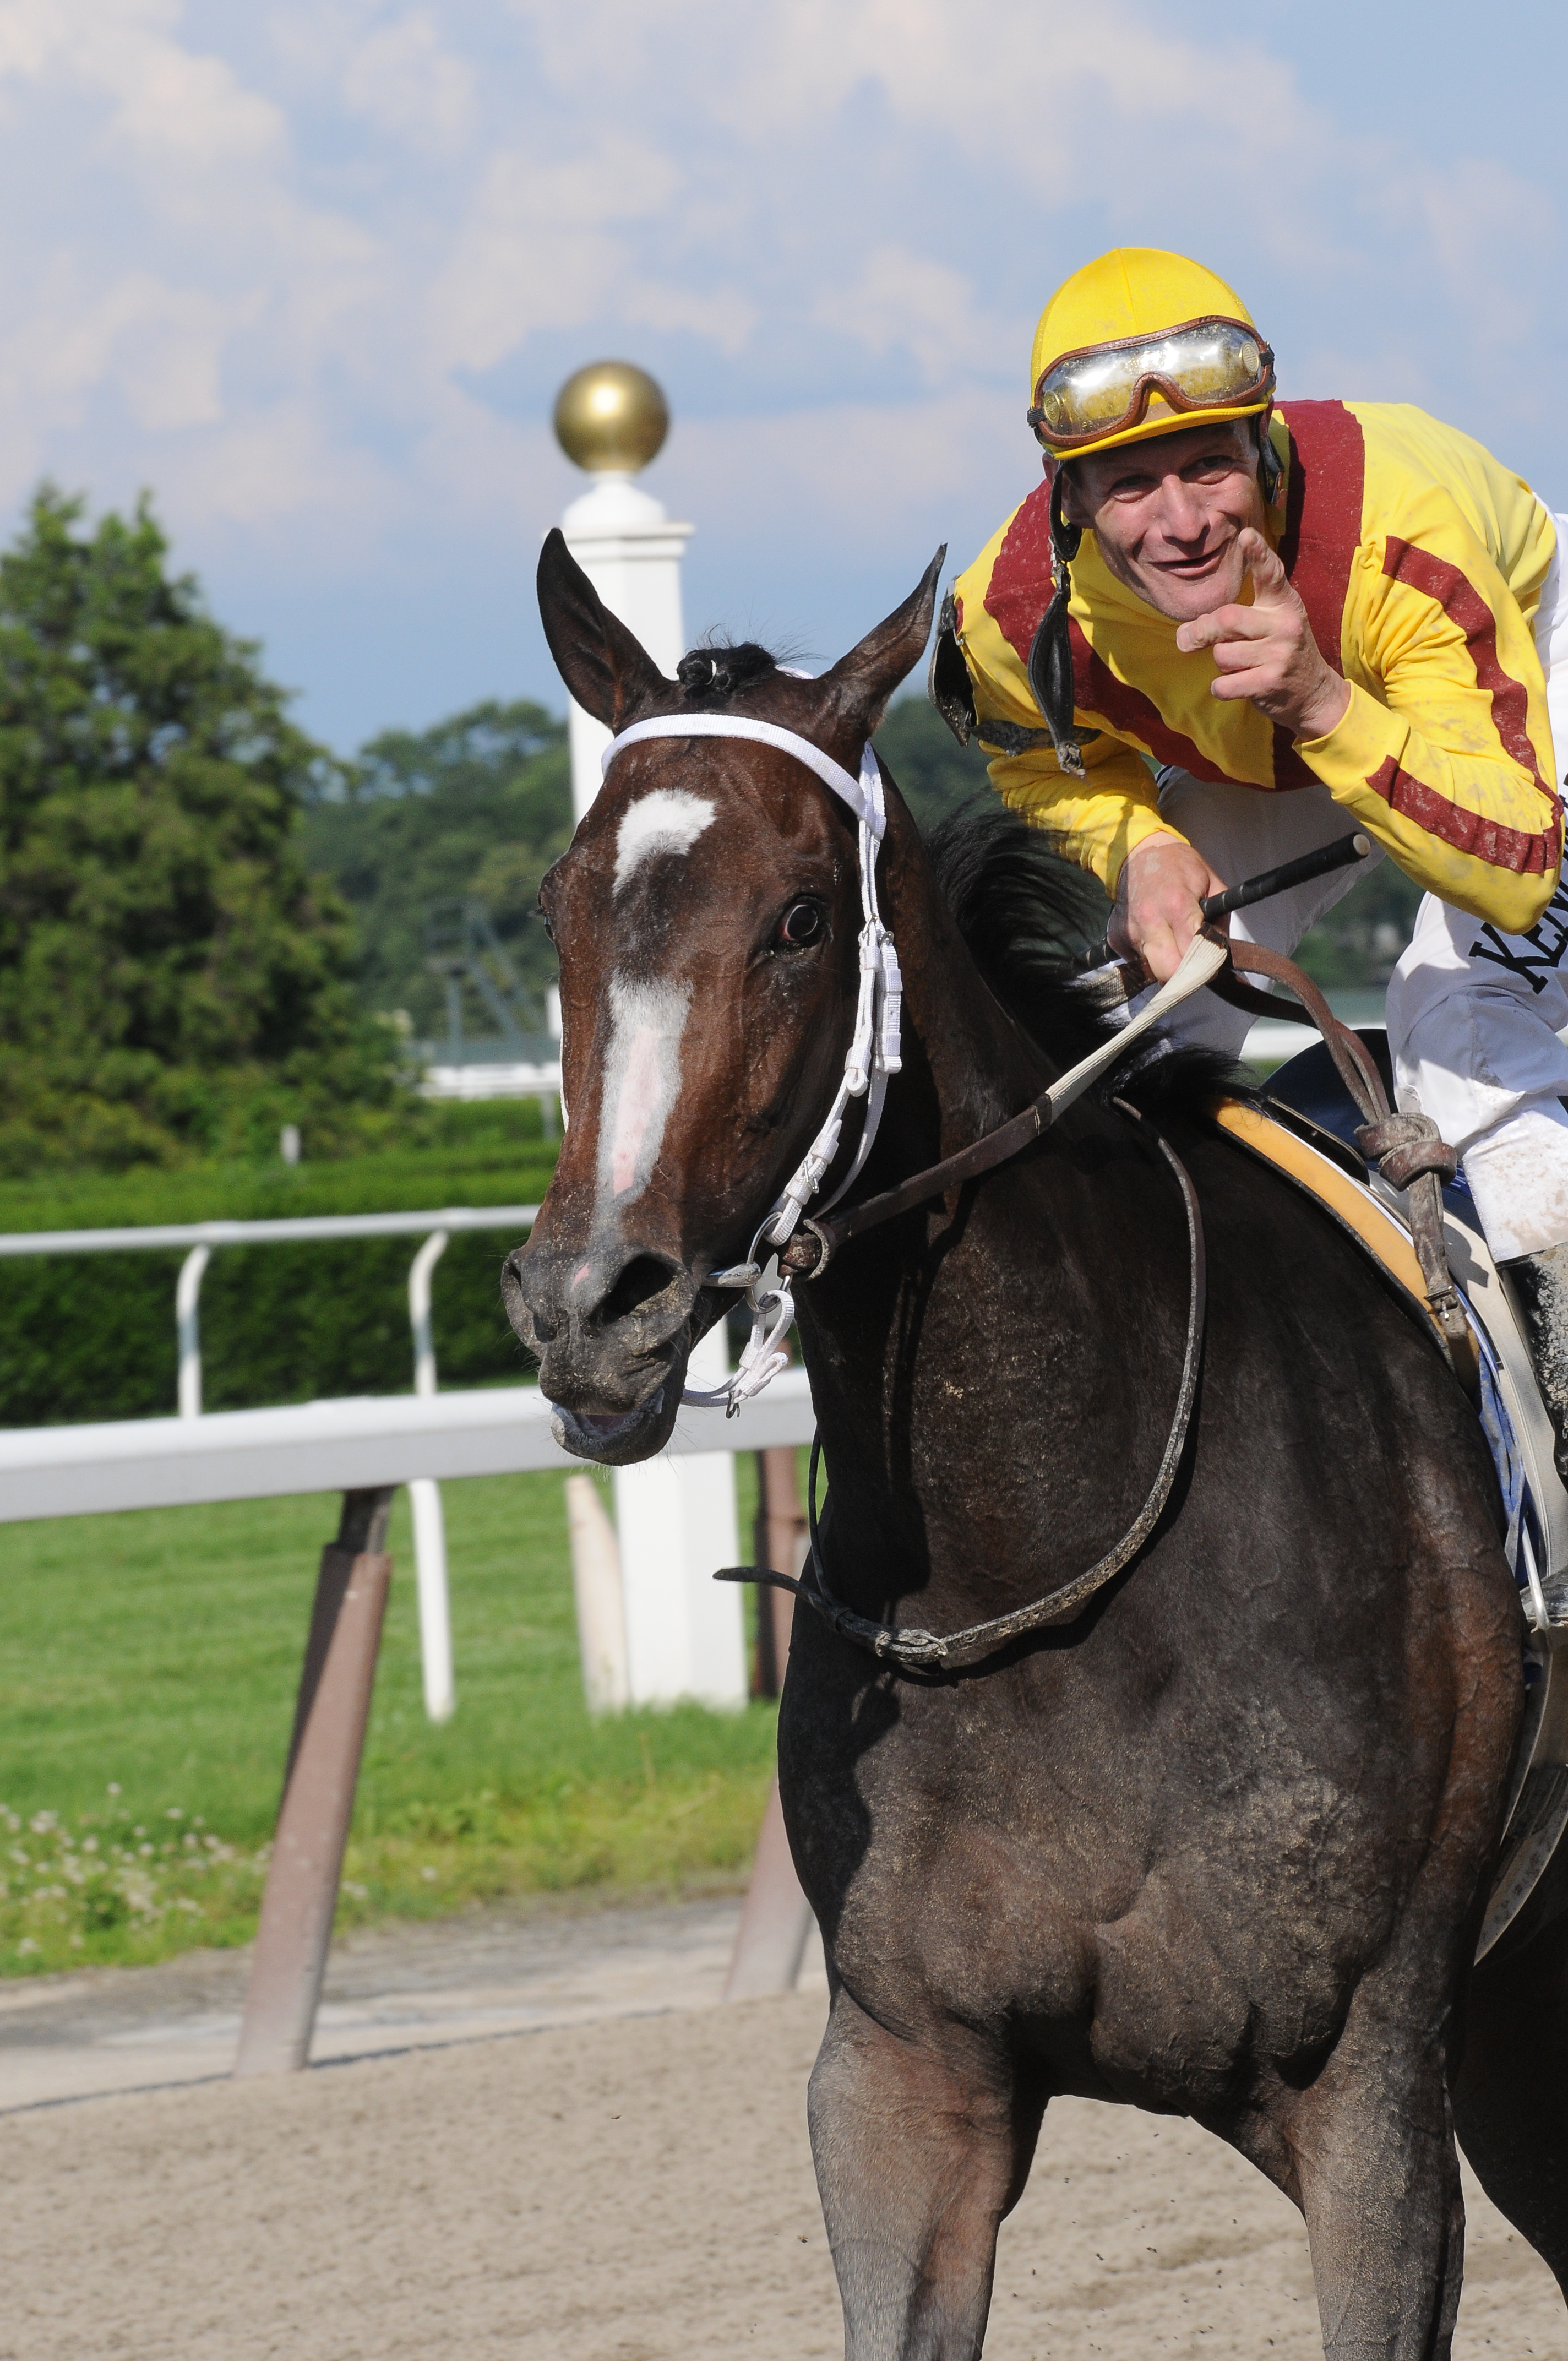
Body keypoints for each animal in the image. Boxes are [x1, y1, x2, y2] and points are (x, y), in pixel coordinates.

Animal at [505, 536, 1567, 2361]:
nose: (591, 1303)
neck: (1057, 1532)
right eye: (563, 907)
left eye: (801, 918)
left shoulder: (1371, 2081)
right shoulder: (900, 2072)